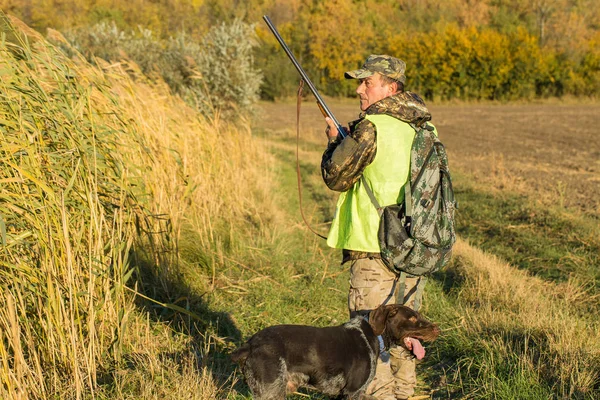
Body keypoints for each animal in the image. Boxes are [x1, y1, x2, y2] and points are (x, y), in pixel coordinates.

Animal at [230, 304, 440, 398]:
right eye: (412, 319)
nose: (437, 329)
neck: (374, 335)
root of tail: (251, 344)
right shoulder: (352, 392)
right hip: (271, 391)